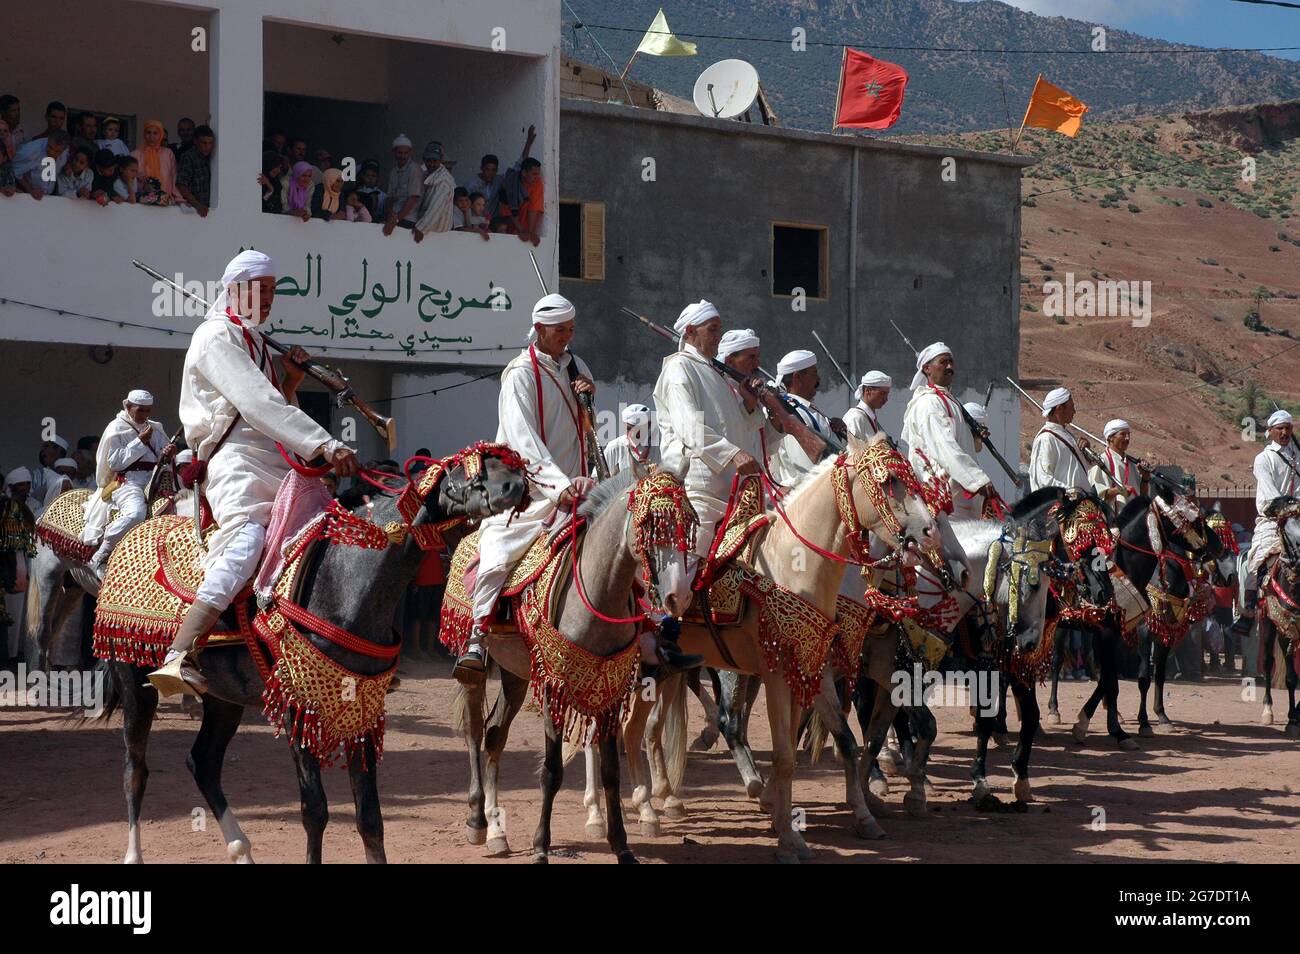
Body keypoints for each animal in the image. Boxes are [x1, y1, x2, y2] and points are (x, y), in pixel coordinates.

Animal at [94, 447, 527, 868]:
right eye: (465, 464)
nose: (517, 484)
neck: (346, 586)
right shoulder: (298, 707)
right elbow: (315, 810)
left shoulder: (363, 708)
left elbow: (370, 817)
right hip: (135, 683)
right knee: (135, 770)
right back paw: (134, 855)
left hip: (223, 697)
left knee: (203, 762)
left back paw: (242, 851)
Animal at [454, 470, 702, 868]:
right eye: (650, 524)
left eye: (689, 524)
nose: (678, 596)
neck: (598, 595)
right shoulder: (555, 686)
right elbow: (552, 771)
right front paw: (541, 847)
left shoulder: (609, 689)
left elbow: (611, 771)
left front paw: (622, 846)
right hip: (475, 666)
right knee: (475, 730)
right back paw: (478, 820)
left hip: (515, 674)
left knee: (495, 734)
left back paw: (496, 831)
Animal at [624, 441, 941, 868]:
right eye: (888, 481)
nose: (930, 533)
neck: (791, 568)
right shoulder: (778, 675)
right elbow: (787, 754)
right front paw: (788, 839)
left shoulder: (811, 672)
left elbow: (833, 743)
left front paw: (835, 819)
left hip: (664, 671)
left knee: (644, 730)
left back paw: (660, 803)